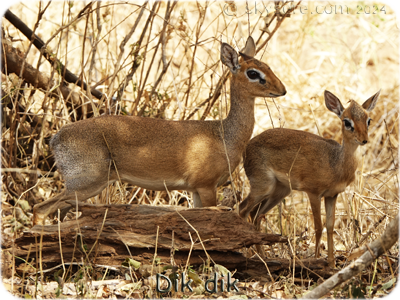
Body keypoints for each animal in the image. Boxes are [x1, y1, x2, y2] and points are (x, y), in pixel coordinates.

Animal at [32, 36, 286, 225]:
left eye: (268, 66)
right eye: (253, 73)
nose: (282, 90)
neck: (225, 134)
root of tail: (56, 138)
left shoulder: (195, 190)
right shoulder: (206, 186)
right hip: (86, 183)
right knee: (40, 208)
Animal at [239, 90, 380, 266]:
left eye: (368, 120)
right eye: (347, 121)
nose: (364, 140)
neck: (336, 163)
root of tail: (247, 147)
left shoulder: (332, 195)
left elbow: (330, 227)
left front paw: (331, 263)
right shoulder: (313, 193)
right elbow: (319, 227)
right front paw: (316, 258)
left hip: (279, 191)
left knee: (256, 215)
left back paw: (262, 256)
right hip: (262, 186)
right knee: (243, 209)